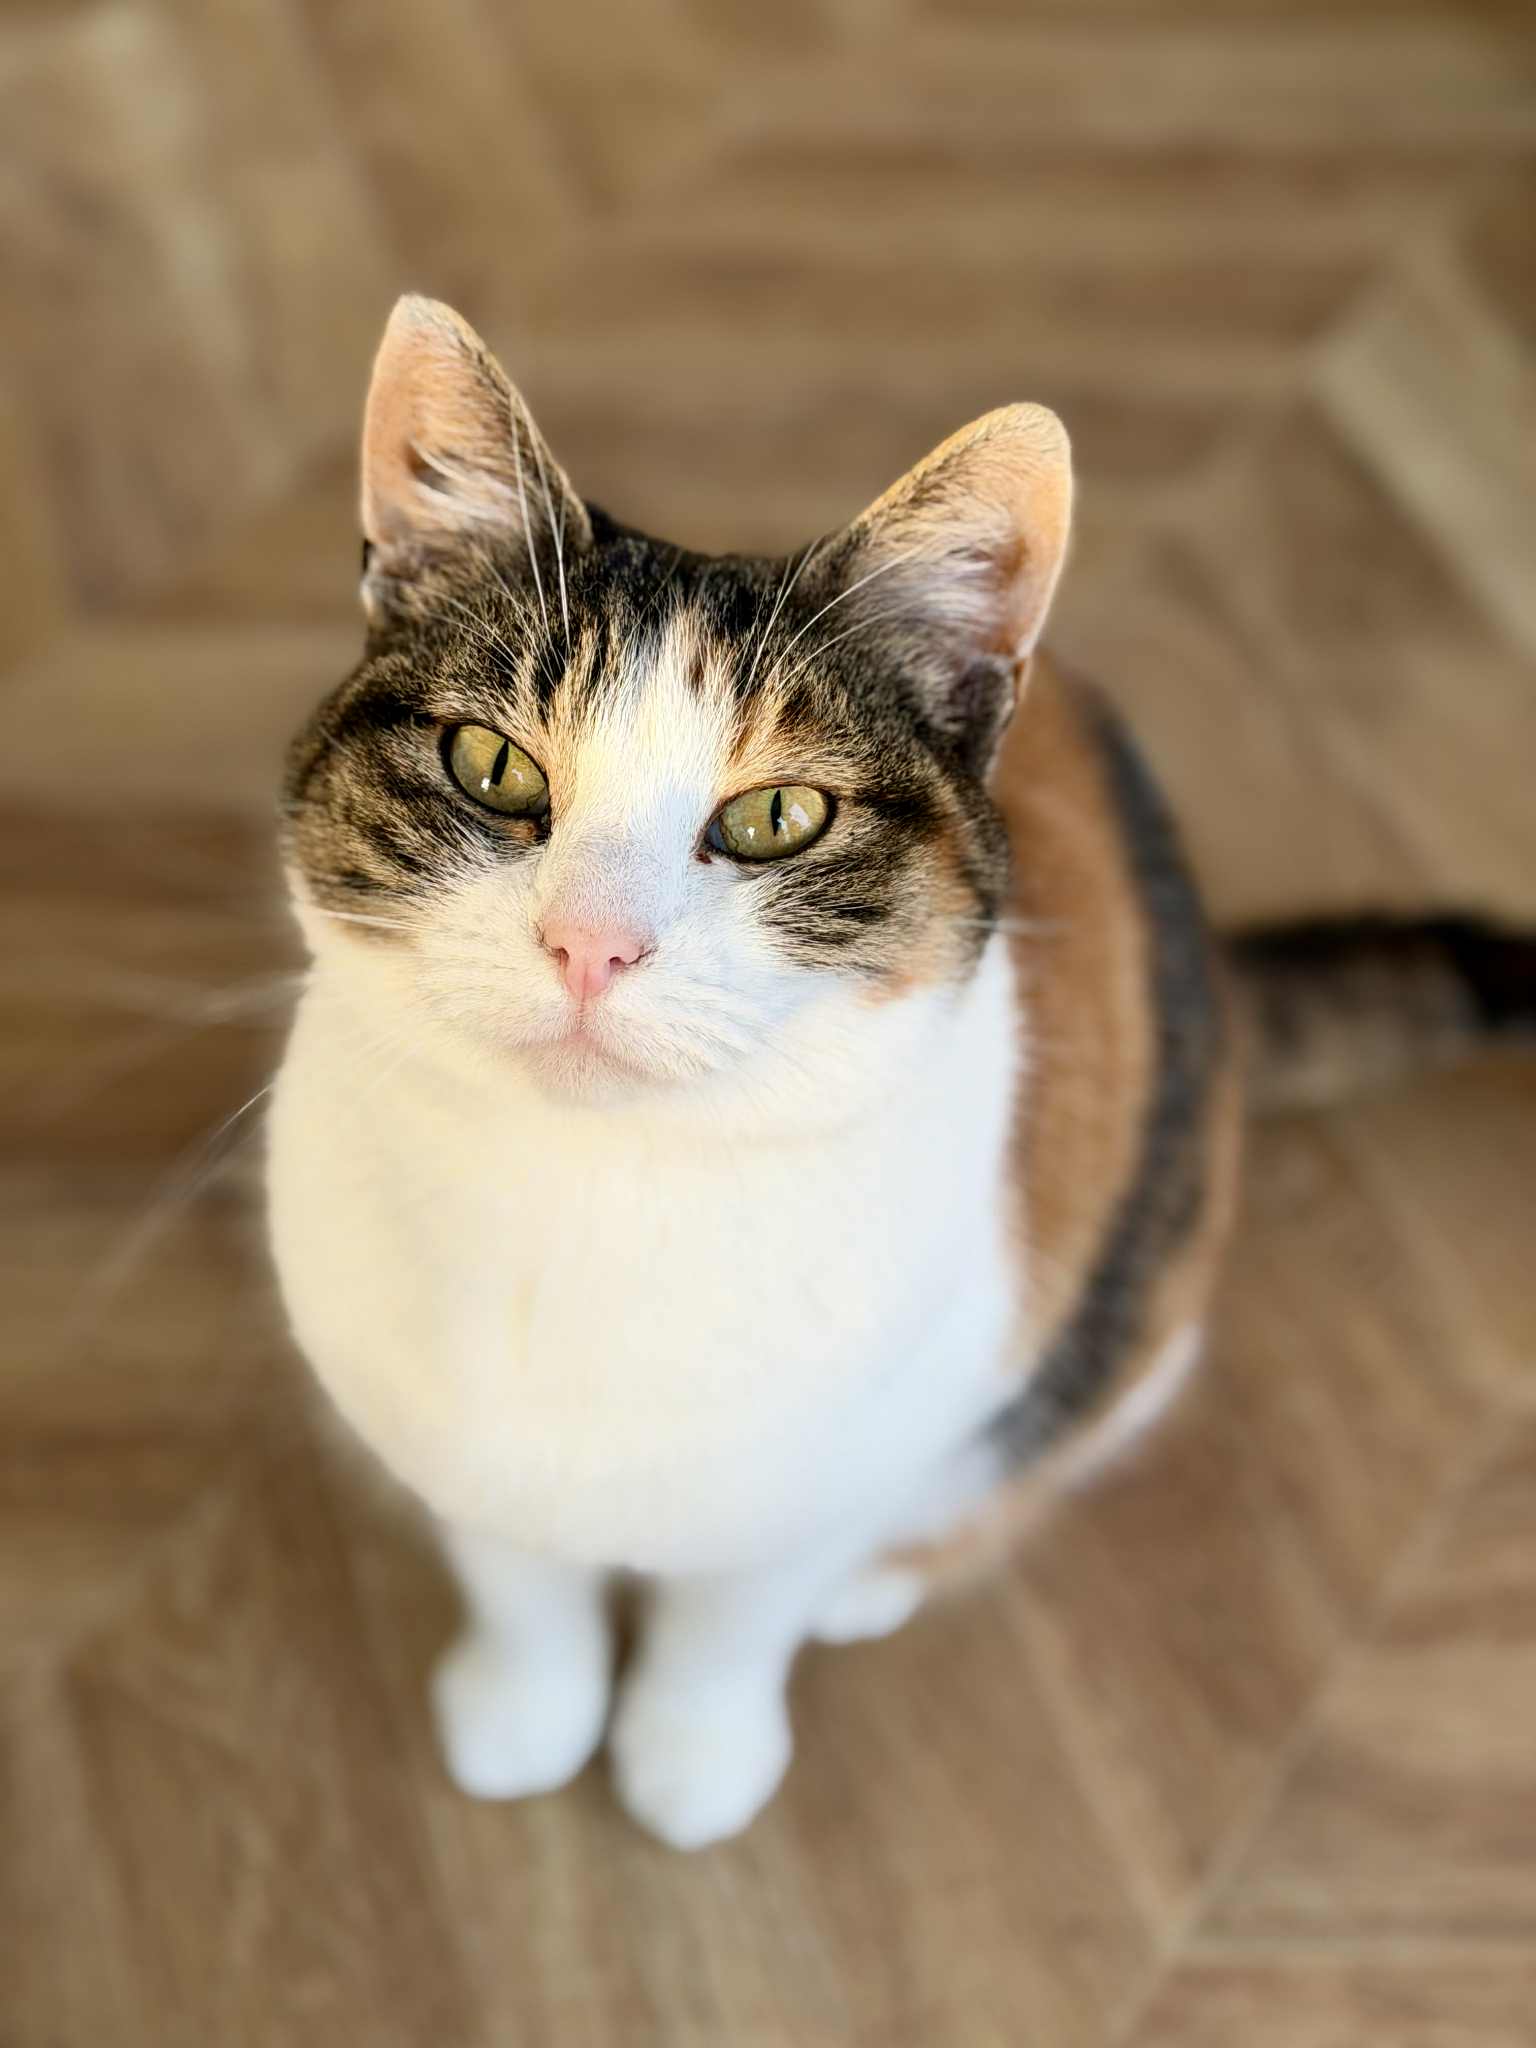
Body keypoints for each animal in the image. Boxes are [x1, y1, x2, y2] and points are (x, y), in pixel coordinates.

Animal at [267, 295, 1534, 1848]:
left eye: (777, 816)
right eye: (491, 767)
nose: (590, 945)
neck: (591, 1200)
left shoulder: (861, 1437)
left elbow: (738, 1613)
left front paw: (693, 1755)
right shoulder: (429, 1426)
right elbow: (516, 1578)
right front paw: (523, 1710)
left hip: (1134, 1300)